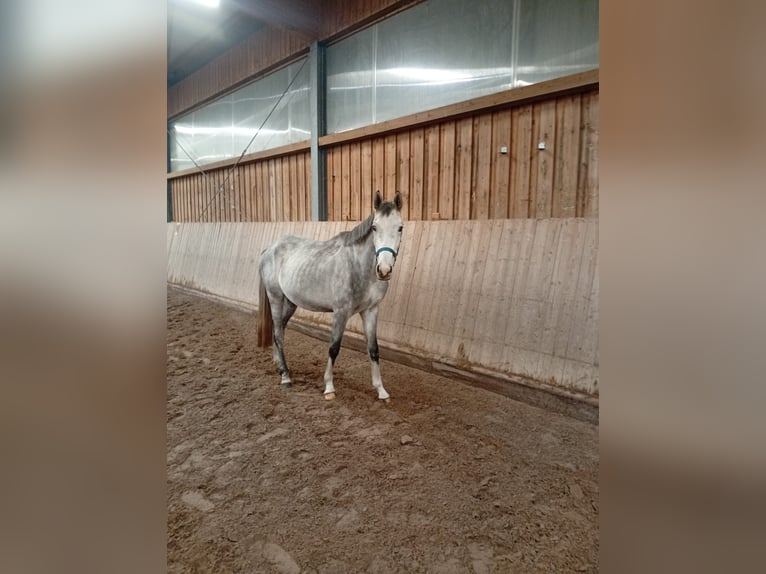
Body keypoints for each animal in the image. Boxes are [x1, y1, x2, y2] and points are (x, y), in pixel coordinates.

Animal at [256, 191, 404, 401]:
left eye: (400, 228)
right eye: (375, 227)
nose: (383, 270)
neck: (358, 266)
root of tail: (270, 248)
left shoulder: (371, 311)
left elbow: (374, 349)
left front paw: (381, 390)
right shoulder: (340, 312)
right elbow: (334, 347)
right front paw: (329, 387)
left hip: (291, 302)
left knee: (280, 330)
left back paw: (278, 364)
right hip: (275, 297)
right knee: (277, 333)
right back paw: (285, 376)